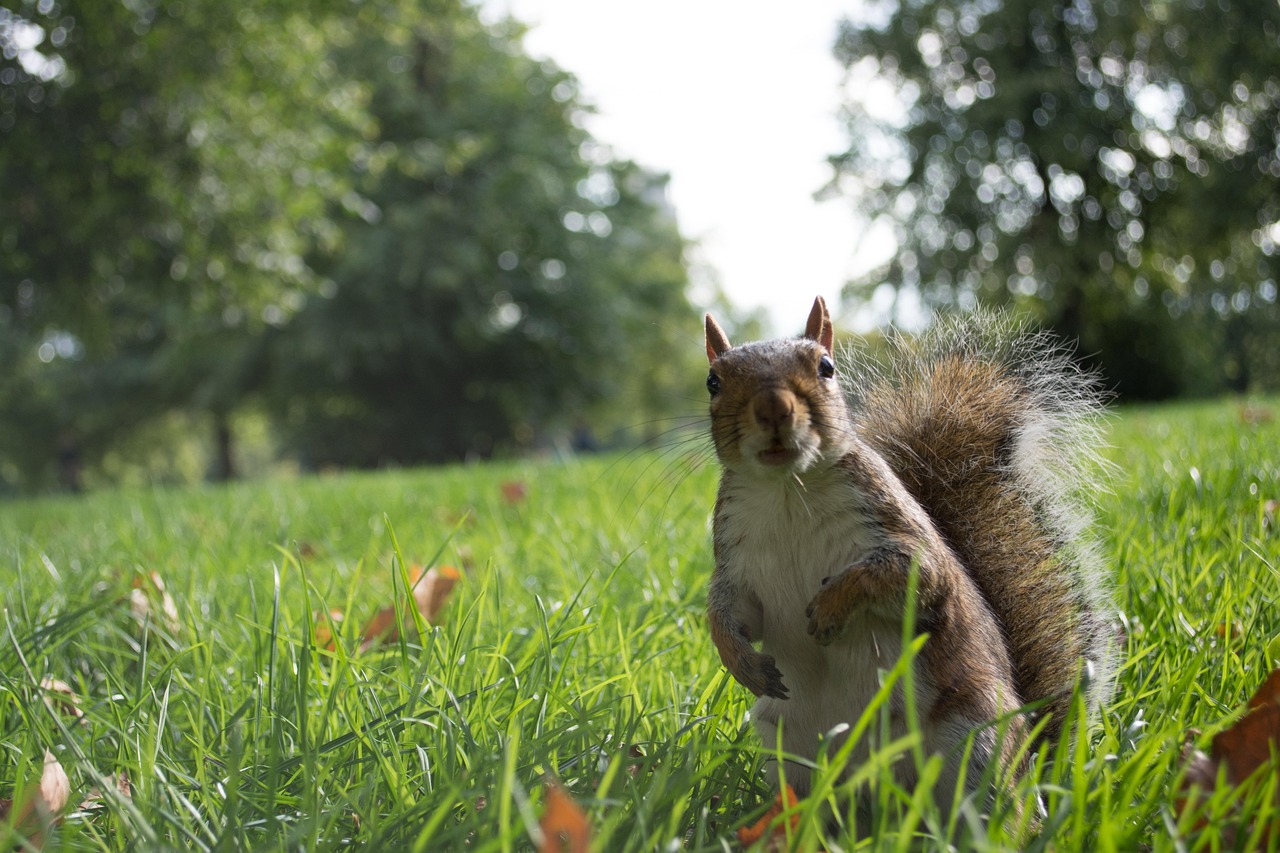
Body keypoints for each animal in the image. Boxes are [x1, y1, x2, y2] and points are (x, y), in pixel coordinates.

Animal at [706, 295, 1116, 809]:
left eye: (826, 367)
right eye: (713, 382)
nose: (774, 408)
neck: (787, 493)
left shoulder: (897, 529)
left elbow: (915, 578)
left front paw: (831, 606)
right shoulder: (736, 564)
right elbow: (730, 615)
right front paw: (742, 661)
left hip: (977, 735)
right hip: (786, 745)